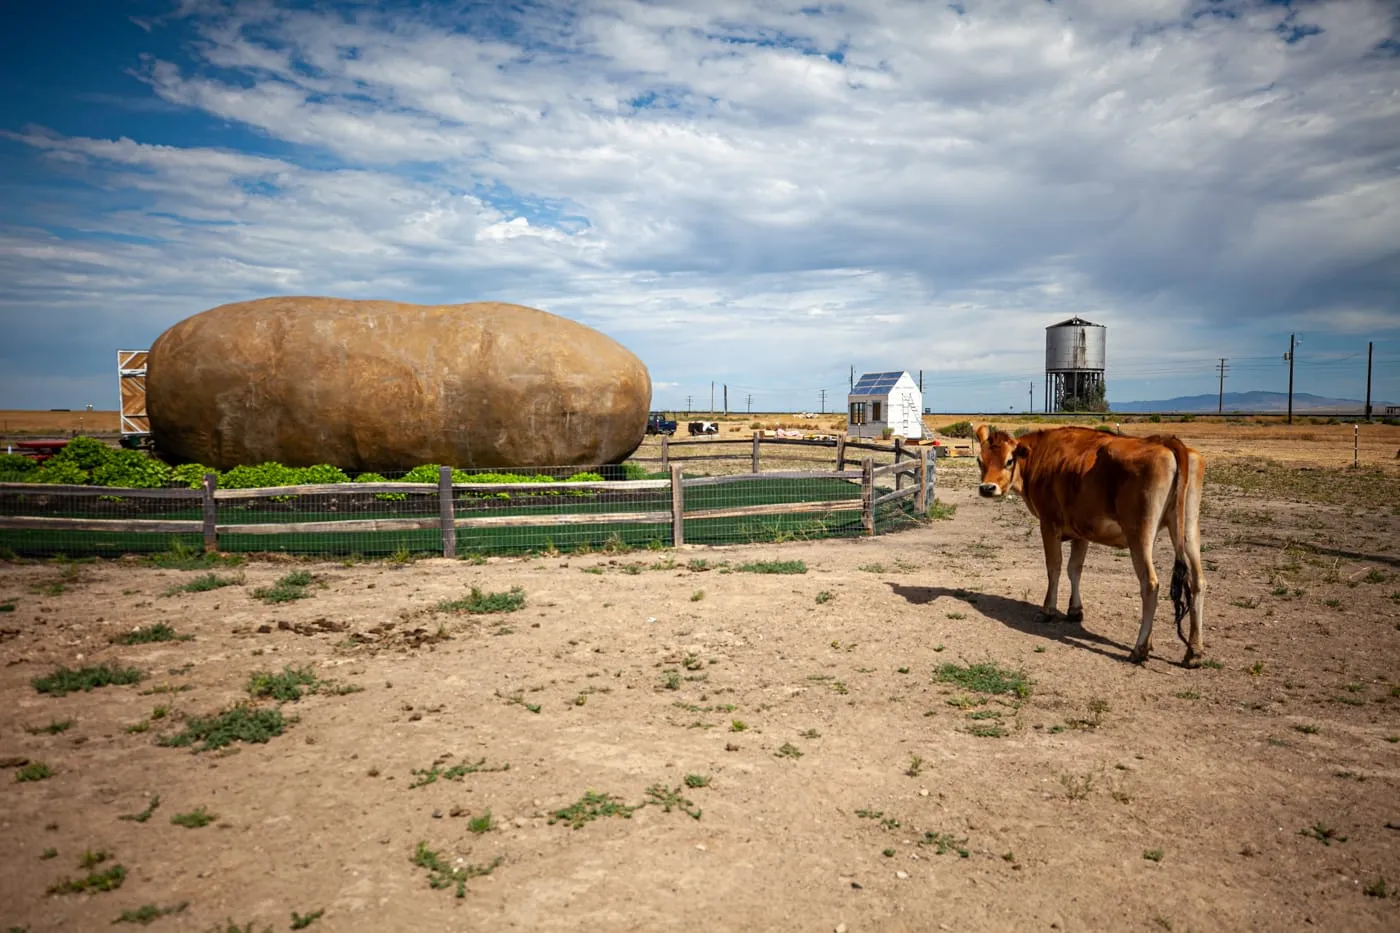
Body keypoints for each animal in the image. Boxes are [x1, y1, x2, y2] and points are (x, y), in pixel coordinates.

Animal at [974, 420, 1204, 661]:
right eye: (980, 460)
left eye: (1009, 460)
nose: (987, 488)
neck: (1039, 455)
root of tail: (1164, 441)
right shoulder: (1081, 531)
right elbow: (1074, 569)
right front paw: (1075, 610)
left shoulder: (1048, 524)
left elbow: (1054, 567)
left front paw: (1047, 610)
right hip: (1188, 529)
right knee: (1198, 581)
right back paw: (1194, 650)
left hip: (1140, 535)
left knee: (1150, 584)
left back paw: (1140, 647)